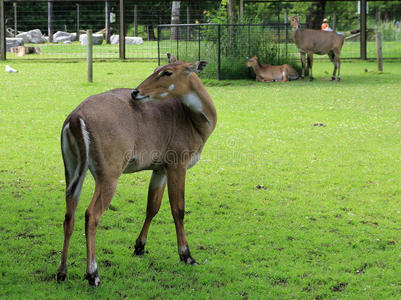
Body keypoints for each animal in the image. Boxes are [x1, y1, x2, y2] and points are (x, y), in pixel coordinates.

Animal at [56, 53, 216, 286]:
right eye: (157, 69)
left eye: (167, 71)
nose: (135, 92)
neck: (193, 119)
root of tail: (76, 117)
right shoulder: (177, 165)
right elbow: (178, 209)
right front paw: (186, 255)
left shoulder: (160, 169)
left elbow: (152, 207)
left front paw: (139, 247)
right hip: (108, 175)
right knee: (91, 214)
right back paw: (93, 274)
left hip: (73, 171)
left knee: (70, 215)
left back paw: (62, 272)